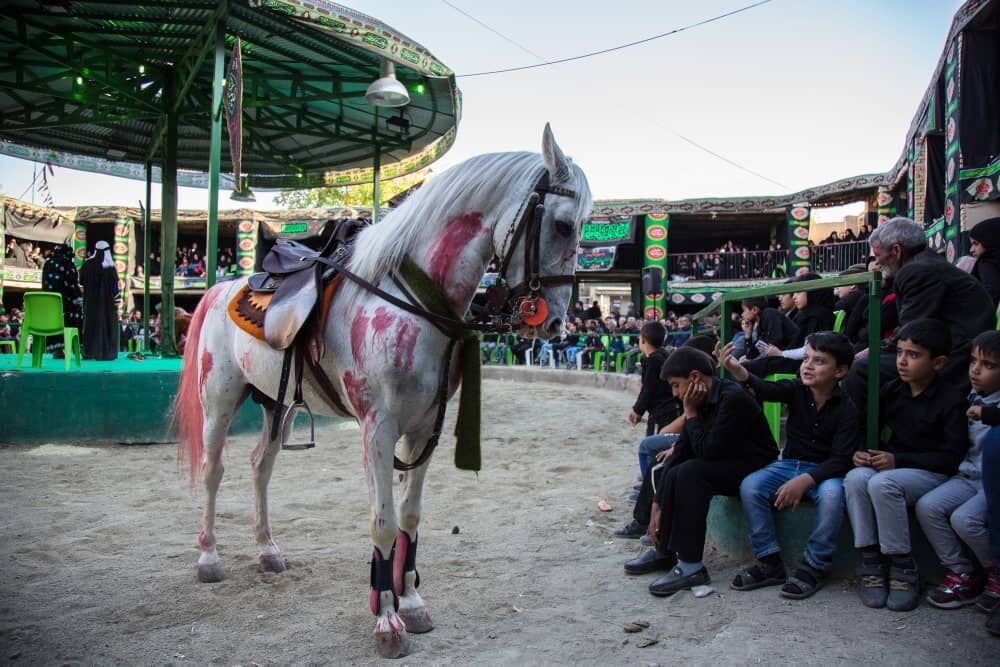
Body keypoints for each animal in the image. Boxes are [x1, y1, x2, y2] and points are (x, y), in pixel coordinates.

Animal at [175, 125, 588, 656]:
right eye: (563, 225)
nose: (556, 322)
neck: (410, 301)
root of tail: (217, 290)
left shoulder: (424, 430)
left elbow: (409, 517)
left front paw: (410, 601)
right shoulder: (377, 430)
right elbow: (384, 522)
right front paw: (387, 619)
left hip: (274, 402)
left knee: (259, 467)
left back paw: (267, 549)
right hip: (220, 401)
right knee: (213, 471)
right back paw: (208, 557)